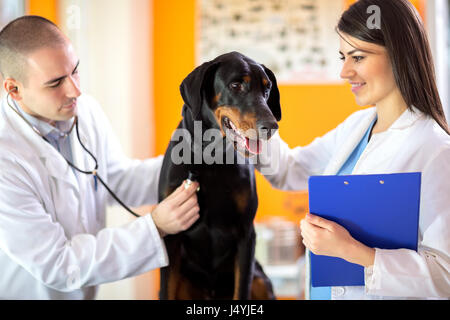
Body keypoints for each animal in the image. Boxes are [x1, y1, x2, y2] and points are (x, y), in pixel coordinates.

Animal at [159, 51, 282, 298]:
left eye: (267, 89)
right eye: (236, 85)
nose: (271, 126)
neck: (212, 158)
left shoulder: (246, 234)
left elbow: (241, 289)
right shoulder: (171, 235)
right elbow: (165, 289)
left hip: (260, 280)